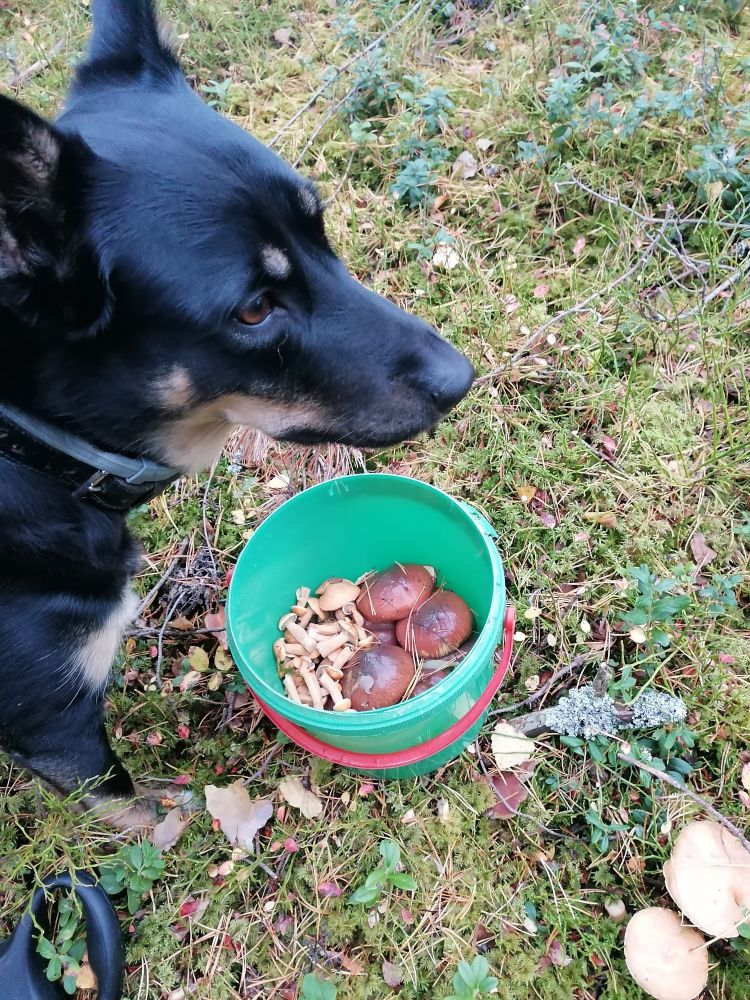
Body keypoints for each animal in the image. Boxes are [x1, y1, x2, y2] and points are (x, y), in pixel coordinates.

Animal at [0, 0, 474, 827]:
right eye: (254, 309)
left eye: (322, 230)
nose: (464, 378)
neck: (34, 448)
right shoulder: (52, 723)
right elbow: (133, 809)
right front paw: (184, 824)